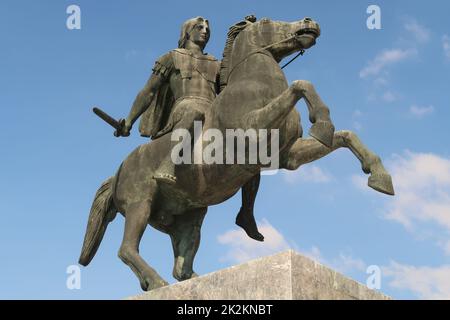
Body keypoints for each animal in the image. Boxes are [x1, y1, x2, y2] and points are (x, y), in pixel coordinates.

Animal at [80, 17, 394, 292]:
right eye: (267, 21)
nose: (310, 22)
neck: (253, 85)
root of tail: (118, 171)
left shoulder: (287, 156)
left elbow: (344, 135)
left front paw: (379, 176)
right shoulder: (252, 130)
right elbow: (300, 85)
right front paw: (322, 120)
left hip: (189, 218)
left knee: (181, 267)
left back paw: (199, 279)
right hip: (140, 204)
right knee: (127, 249)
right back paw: (157, 282)